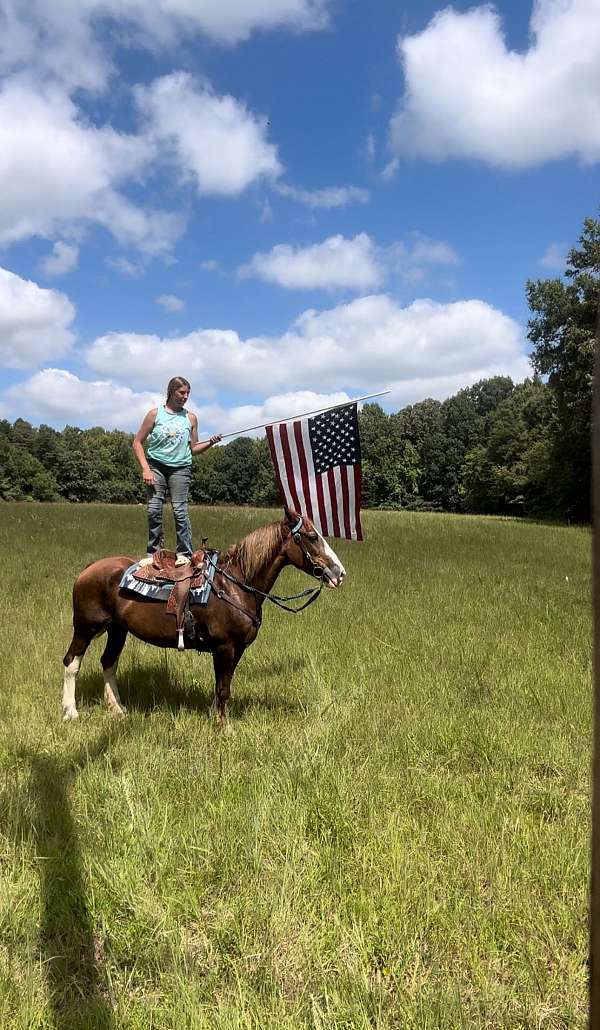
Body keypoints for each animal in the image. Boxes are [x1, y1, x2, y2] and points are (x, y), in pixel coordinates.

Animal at [62, 508, 345, 725]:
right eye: (312, 537)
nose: (339, 573)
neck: (235, 584)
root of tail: (89, 569)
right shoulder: (225, 647)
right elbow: (223, 688)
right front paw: (223, 727)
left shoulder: (236, 650)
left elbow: (222, 686)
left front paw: (215, 716)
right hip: (86, 627)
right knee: (71, 663)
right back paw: (71, 712)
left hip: (118, 630)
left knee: (108, 662)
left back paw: (117, 709)